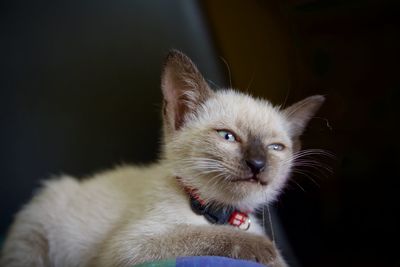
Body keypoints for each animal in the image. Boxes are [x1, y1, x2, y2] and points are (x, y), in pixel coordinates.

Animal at [0, 50, 324, 267]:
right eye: (228, 137)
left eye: (275, 148)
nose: (257, 164)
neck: (218, 212)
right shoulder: (129, 249)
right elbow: (198, 237)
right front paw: (265, 249)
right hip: (35, 235)